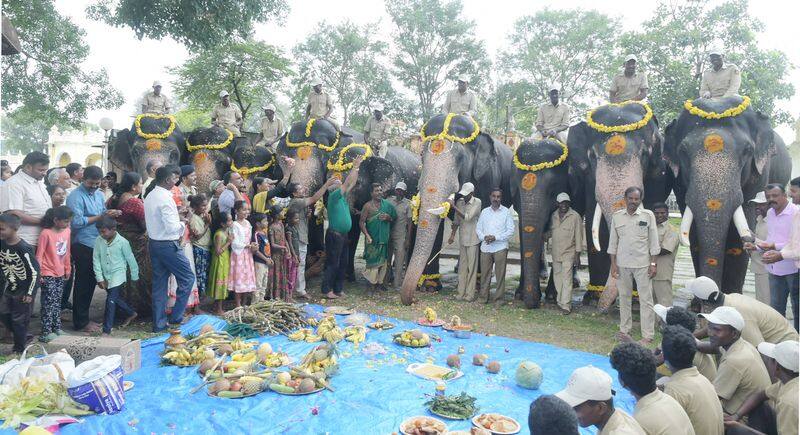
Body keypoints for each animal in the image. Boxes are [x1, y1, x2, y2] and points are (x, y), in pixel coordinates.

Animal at [512, 138, 576, 308]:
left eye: (553, 189)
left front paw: (552, 296)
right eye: (516, 188)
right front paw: (519, 294)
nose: (534, 303)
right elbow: (524, 231)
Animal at [564, 101, 672, 306]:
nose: (601, 308)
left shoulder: (658, 173)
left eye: (644, 154)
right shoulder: (590, 179)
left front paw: (636, 298)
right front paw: (594, 298)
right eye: (592, 156)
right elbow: (594, 223)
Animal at [660, 95, 792, 292]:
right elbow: (694, 234)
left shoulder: (759, 174)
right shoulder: (678, 180)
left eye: (747, 151)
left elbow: (738, 238)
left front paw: (730, 297)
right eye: (683, 152)